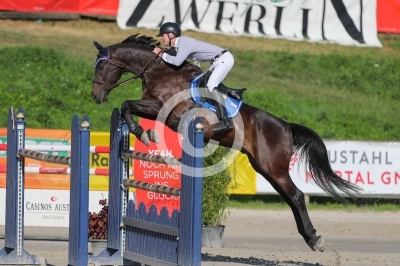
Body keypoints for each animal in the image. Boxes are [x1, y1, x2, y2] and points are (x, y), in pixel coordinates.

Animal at [92, 34, 360, 252]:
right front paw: (143, 132)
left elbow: (127, 104)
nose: (95, 97)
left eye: (102, 66)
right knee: (291, 197)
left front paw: (142, 133)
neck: (159, 71)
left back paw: (315, 239)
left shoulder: (162, 109)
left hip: (273, 166)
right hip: (266, 169)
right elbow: (127, 107)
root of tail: (286, 126)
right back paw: (309, 237)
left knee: (297, 196)